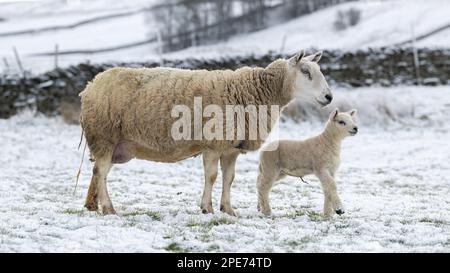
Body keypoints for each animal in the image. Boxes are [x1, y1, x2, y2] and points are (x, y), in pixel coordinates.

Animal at [78, 49, 334, 215]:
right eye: (305, 71)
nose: (329, 97)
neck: (255, 91)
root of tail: (90, 85)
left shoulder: (231, 149)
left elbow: (229, 178)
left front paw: (228, 210)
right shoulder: (212, 143)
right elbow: (211, 176)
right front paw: (207, 208)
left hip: (112, 144)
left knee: (97, 172)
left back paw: (92, 205)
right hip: (104, 136)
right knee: (101, 172)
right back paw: (108, 208)